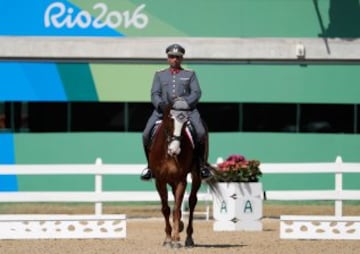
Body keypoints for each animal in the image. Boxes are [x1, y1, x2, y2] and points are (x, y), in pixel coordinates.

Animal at [147, 103, 202, 248]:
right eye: (170, 120)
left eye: (185, 122)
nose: (175, 150)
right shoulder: (160, 181)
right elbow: (166, 208)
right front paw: (168, 239)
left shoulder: (181, 180)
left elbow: (177, 208)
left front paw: (176, 238)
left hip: (196, 176)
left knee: (192, 201)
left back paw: (188, 237)